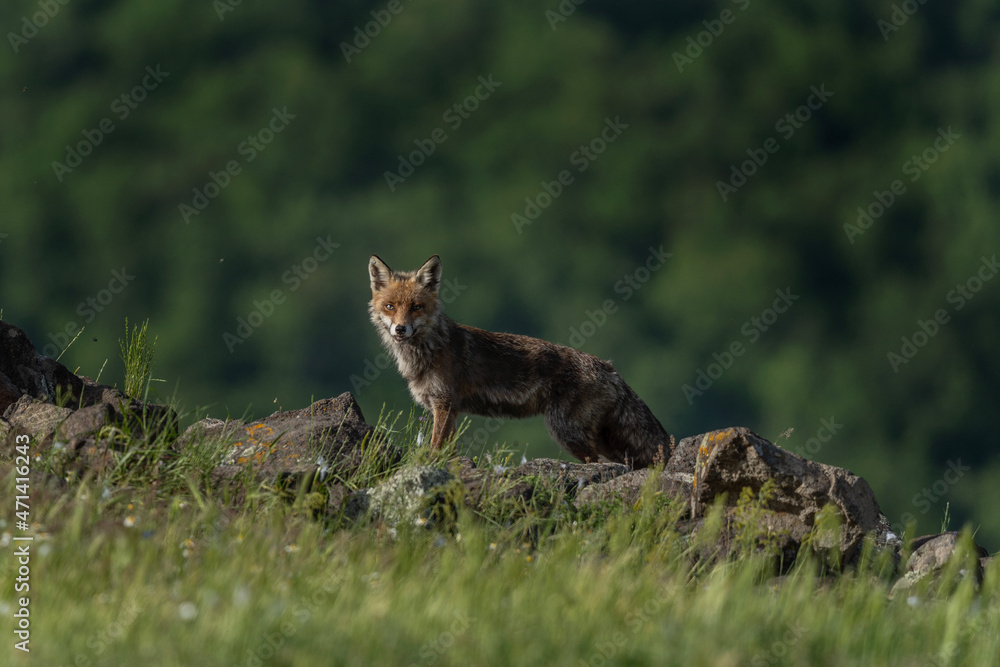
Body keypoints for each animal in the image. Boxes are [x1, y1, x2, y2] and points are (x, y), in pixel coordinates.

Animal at [368, 254, 673, 468]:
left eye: (417, 307)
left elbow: (434, 447)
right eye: (390, 307)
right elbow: (447, 450)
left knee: (600, 463)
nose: (400, 330)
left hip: (567, 432)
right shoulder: (449, 409)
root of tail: (610, 368)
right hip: (596, 438)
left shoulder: (444, 404)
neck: (429, 350)